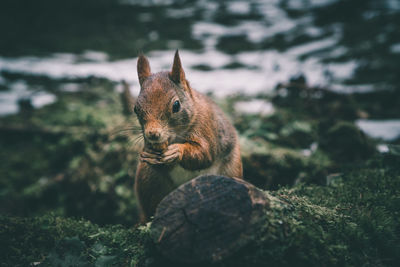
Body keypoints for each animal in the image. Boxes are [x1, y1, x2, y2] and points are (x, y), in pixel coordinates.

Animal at [134, 50, 242, 222]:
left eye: (176, 105)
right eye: (135, 109)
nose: (153, 134)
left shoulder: (207, 130)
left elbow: (204, 154)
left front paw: (177, 151)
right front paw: (149, 154)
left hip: (232, 170)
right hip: (149, 182)